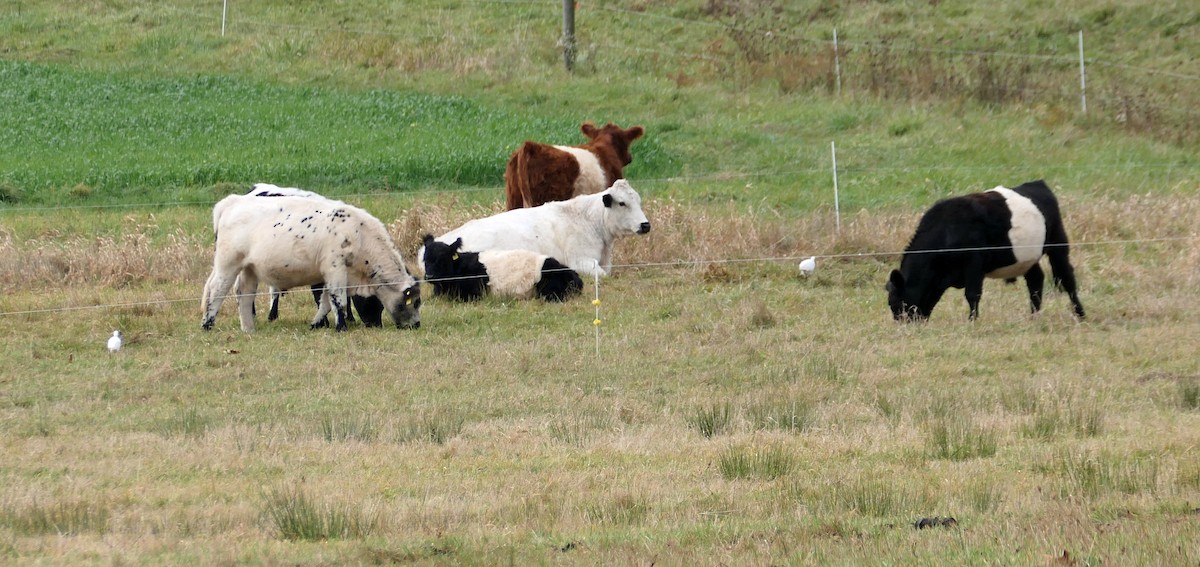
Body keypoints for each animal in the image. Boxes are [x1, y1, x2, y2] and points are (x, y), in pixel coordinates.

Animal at [886, 180, 1085, 322]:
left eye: (897, 302)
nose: (904, 325)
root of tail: (1038, 184)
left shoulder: (974, 262)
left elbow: (972, 294)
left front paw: (972, 321)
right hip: (1027, 257)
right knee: (1036, 280)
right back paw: (1034, 317)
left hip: (1058, 244)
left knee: (1067, 278)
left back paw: (1080, 314)